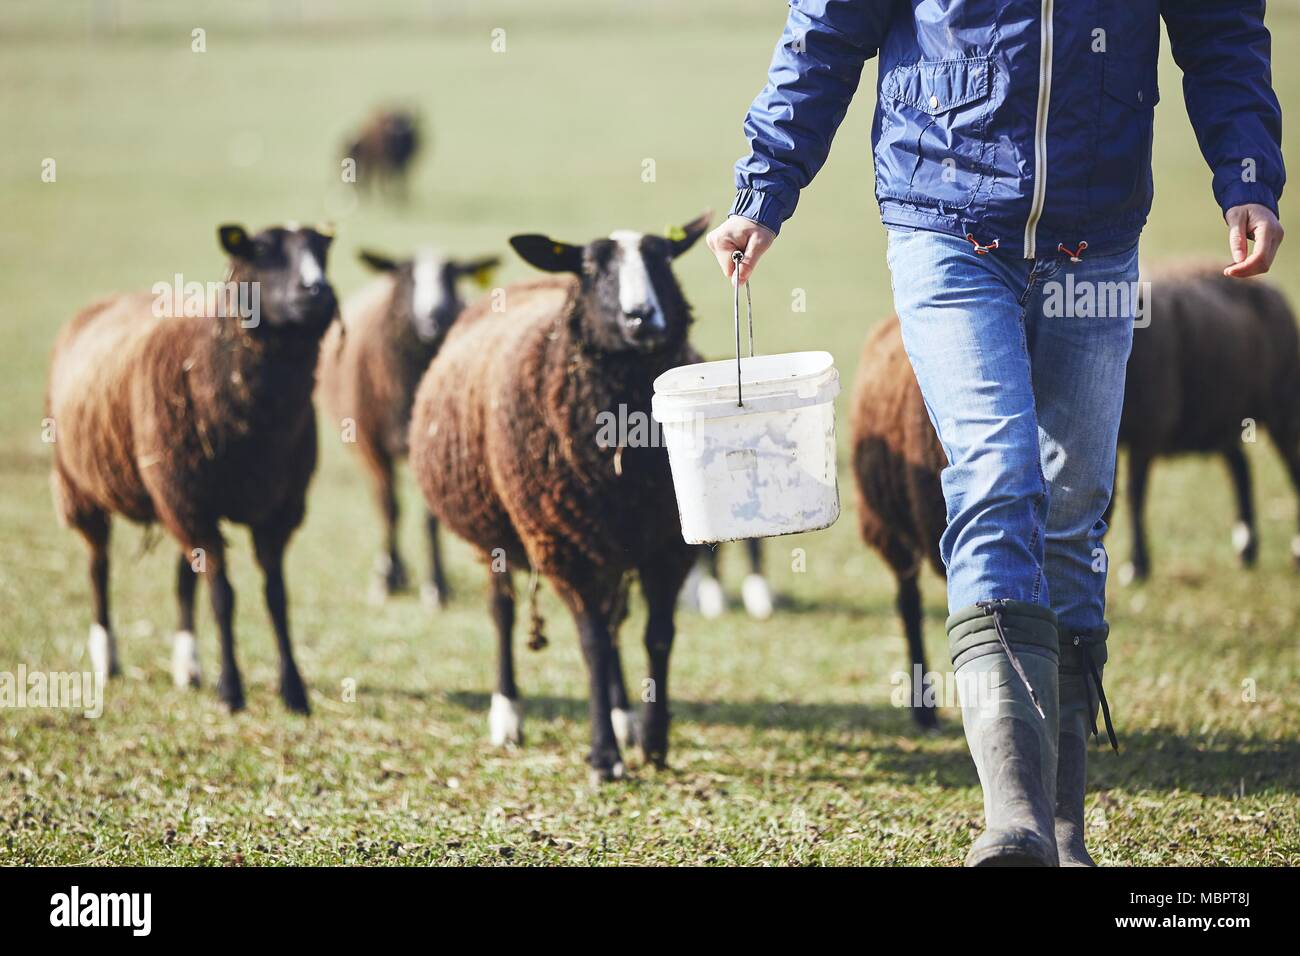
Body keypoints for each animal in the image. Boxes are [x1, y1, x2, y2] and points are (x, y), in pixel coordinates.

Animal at [48, 223, 338, 712]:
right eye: (261, 249)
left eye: (322, 251)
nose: (318, 292)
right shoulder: (192, 502)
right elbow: (224, 596)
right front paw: (231, 691)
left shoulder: (277, 510)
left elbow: (276, 597)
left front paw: (294, 691)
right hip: (83, 488)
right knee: (98, 567)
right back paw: (108, 658)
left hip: (174, 499)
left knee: (183, 579)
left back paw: (188, 667)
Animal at [317, 247, 499, 606]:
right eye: (407, 275)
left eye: (451, 275)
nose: (435, 315)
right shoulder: (371, 446)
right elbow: (390, 509)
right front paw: (386, 579)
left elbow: (430, 519)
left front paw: (436, 586)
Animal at [410, 213, 712, 780]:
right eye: (591, 268)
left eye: (664, 258)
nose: (642, 319)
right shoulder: (564, 547)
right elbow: (591, 643)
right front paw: (604, 758)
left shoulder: (667, 544)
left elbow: (657, 635)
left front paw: (653, 741)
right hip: (498, 532)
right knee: (504, 613)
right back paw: (508, 715)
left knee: (615, 623)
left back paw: (622, 714)